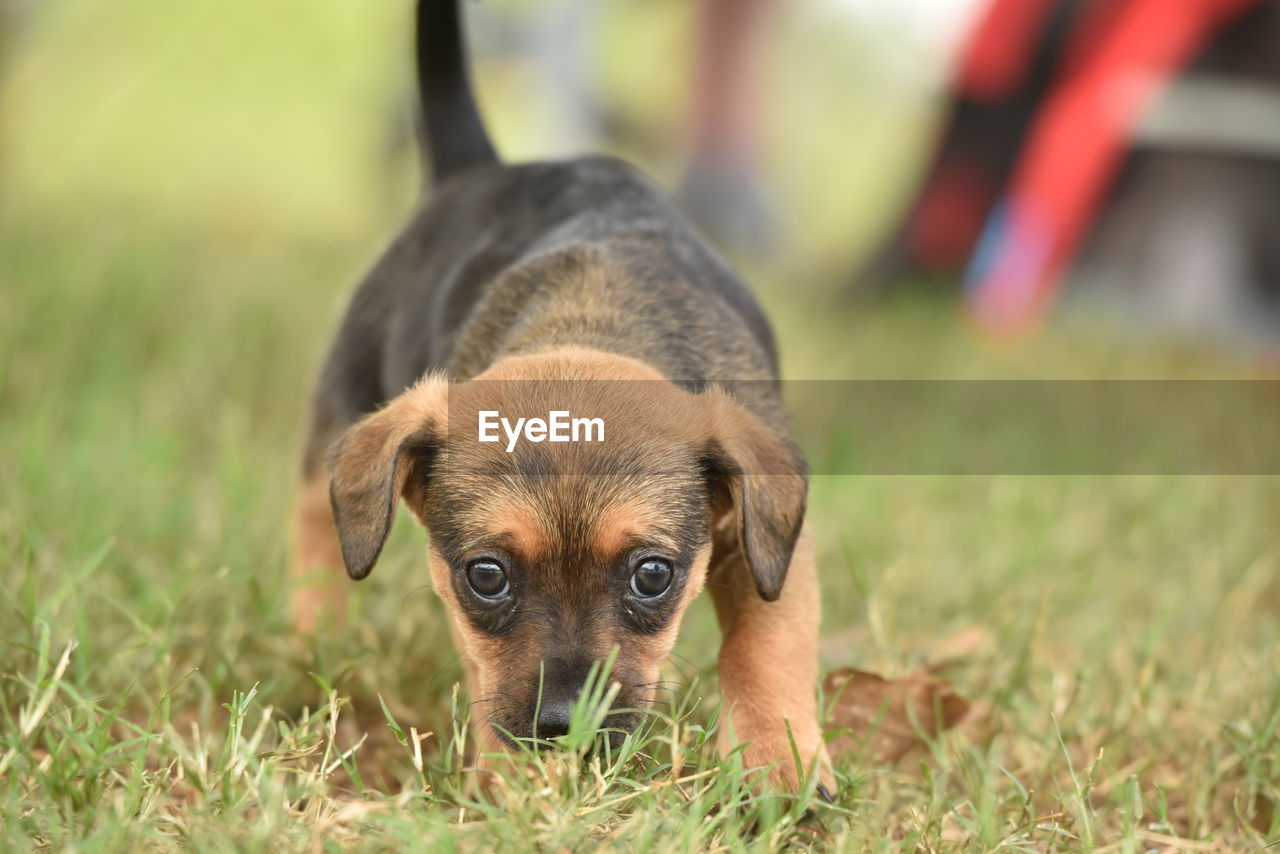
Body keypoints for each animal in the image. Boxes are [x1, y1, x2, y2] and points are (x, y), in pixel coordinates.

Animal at [290, 0, 829, 793]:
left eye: (652, 575)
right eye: (486, 576)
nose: (565, 726)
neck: (592, 317)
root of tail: (480, 167)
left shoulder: (767, 541)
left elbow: (769, 641)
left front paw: (778, 763)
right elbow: (488, 672)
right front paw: (518, 788)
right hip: (342, 399)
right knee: (317, 531)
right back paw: (310, 643)